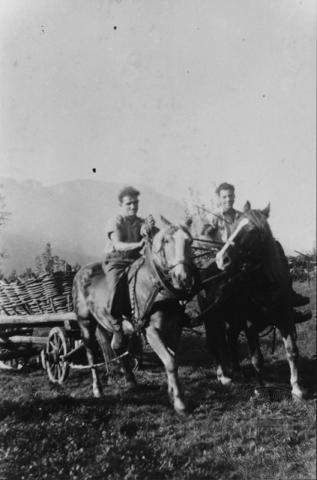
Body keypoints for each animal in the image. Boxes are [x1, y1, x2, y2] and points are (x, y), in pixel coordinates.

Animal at [71, 219, 198, 414]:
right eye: (166, 241)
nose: (182, 277)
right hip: (85, 323)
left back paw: (131, 381)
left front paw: (172, 393)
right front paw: (180, 403)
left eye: (189, 241)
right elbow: (170, 361)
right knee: (91, 353)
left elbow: (172, 358)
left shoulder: (175, 329)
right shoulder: (151, 331)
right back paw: (97, 389)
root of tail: (79, 273)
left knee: (117, 347)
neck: (155, 285)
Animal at [196, 201, 304, 400]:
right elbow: (257, 359)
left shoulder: (285, 319)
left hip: (234, 320)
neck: (266, 285)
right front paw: (261, 390)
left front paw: (297, 389)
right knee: (214, 342)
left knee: (230, 338)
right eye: (233, 227)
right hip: (211, 318)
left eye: (252, 231)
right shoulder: (250, 326)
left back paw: (237, 370)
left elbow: (292, 352)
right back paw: (223, 375)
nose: (222, 259)